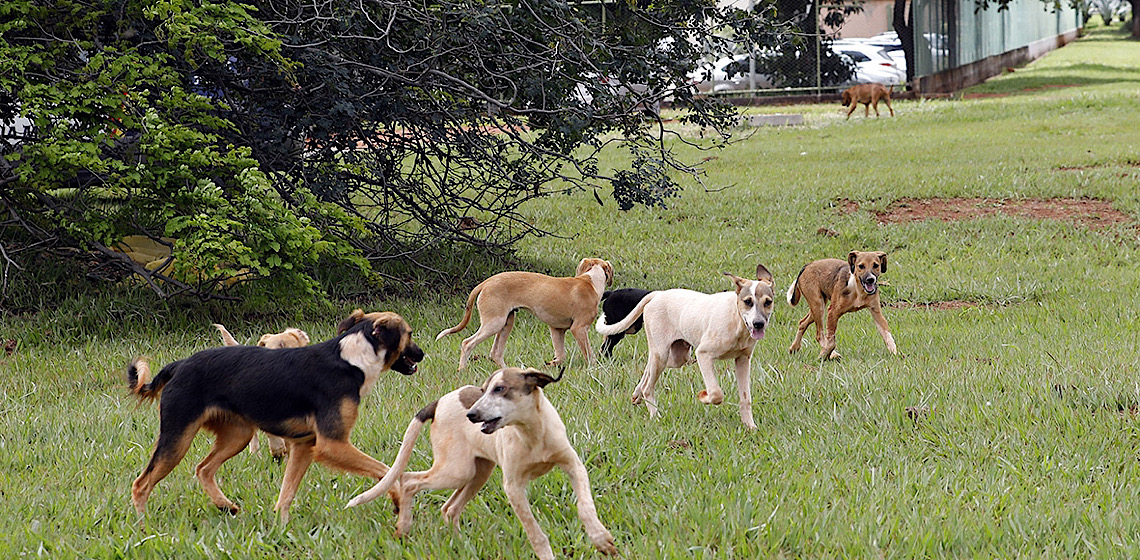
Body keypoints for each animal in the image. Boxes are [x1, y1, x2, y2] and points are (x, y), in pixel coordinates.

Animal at [344, 367, 615, 560]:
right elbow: (535, 532)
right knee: (410, 481)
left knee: (449, 508)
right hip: (457, 470)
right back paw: (404, 528)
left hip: (478, 473)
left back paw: (458, 543)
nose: (471, 415)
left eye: (500, 388)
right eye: (483, 390)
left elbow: (585, 505)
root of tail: (438, 403)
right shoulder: (513, 487)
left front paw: (601, 539)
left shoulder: (573, 465)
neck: (532, 434)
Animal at [597, 266, 775, 428]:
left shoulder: (743, 360)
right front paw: (704, 396)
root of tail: (657, 294)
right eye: (747, 302)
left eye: (768, 302)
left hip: (675, 357)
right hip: (663, 354)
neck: (737, 319)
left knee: (648, 368)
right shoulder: (703, 354)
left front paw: (750, 426)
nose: (758, 324)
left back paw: (637, 394)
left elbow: (746, 398)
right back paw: (655, 415)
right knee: (649, 386)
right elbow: (716, 394)